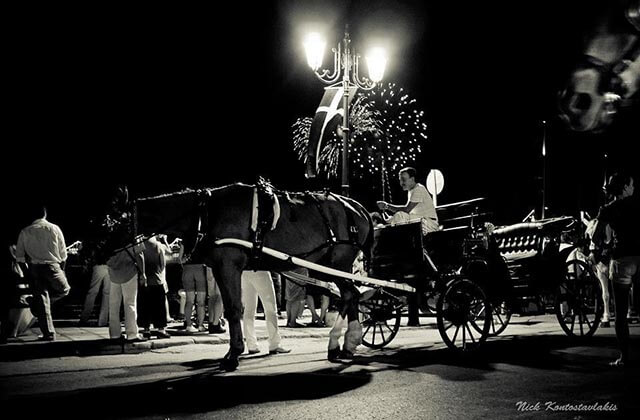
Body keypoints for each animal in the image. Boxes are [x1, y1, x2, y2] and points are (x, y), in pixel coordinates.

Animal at [131, 184, 376, 370]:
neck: (206, 212)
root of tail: (356, 207)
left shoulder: (228, 266)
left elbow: (233, 309)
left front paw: (233, 355)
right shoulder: (221, 269)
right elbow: (232, 309)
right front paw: (234, 351)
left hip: (337, 264)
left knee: (350, 294)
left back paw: (341, 343)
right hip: (330, 267)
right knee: (352, 294)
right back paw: (346, 344)